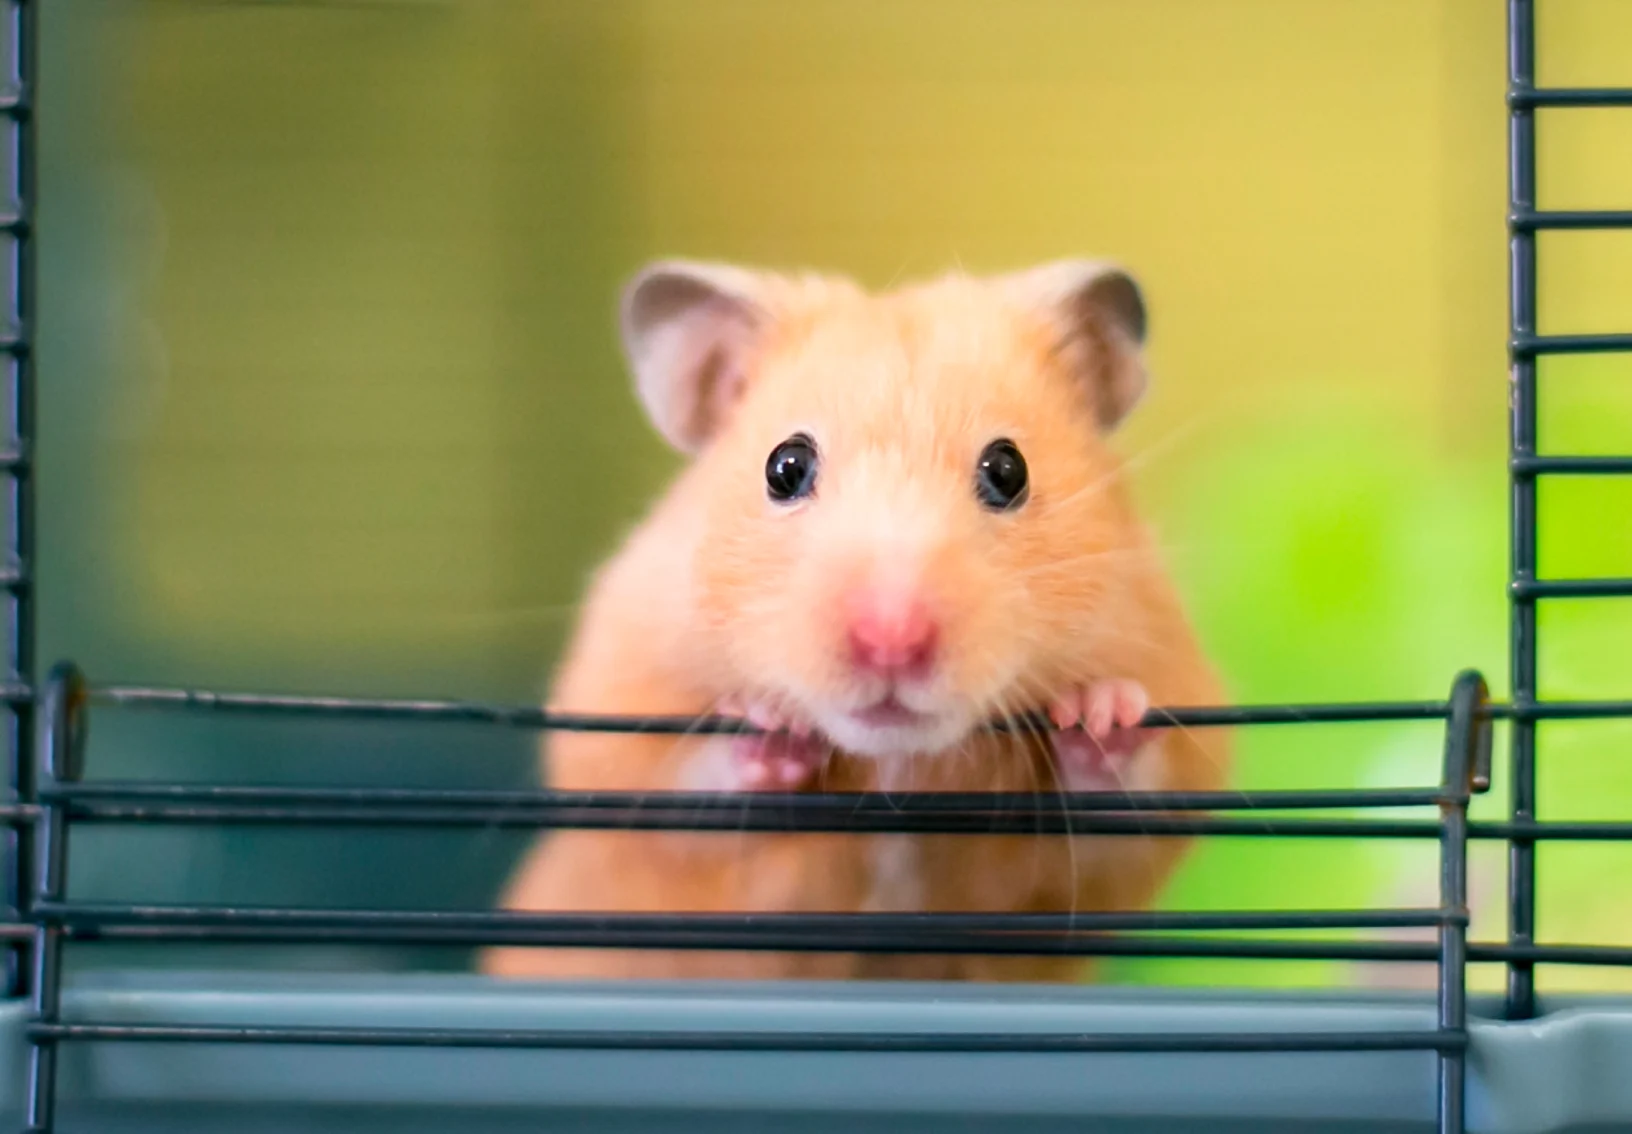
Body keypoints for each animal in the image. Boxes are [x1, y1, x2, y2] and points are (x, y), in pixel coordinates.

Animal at [476, 257, 1227, 985]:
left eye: (1008, 469)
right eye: (785, 466)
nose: (890, 643)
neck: (894, 761)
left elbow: (1125, 801)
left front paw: (1100, 712)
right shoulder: (620, 718)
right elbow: (681, 785)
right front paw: (770, 728)